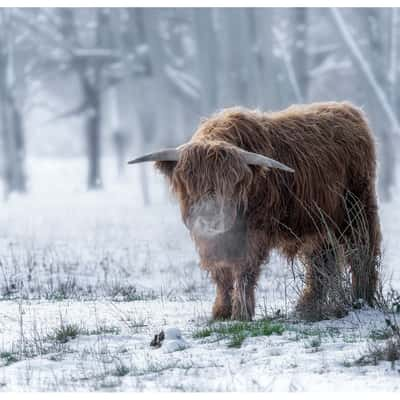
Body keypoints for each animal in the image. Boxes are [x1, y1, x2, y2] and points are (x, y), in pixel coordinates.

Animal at [129, 102, 382, 322]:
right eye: (189, 182)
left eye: (231, 183)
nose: (210, 218)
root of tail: (351, 111)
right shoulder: (211, 241)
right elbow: (221, 274)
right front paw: (221, 311)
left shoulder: (253, 233)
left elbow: (244, 270)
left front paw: (241, 312)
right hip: (318, 223)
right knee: (322, 261)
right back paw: (307, 306)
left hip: (357, 208)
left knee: (362, 252)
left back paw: (362, 299)